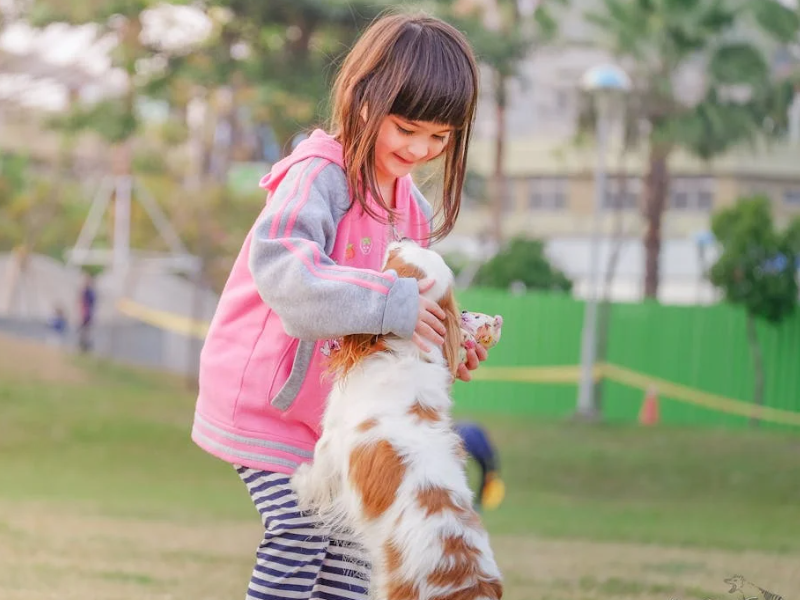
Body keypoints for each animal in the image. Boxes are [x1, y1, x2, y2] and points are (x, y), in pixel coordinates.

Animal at [290, 239, 504, 600]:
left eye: (395, 256)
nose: (401, 237)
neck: (407, 351)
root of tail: (469, 584)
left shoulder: (333, 439)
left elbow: (317, 472)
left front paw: (300, 481)